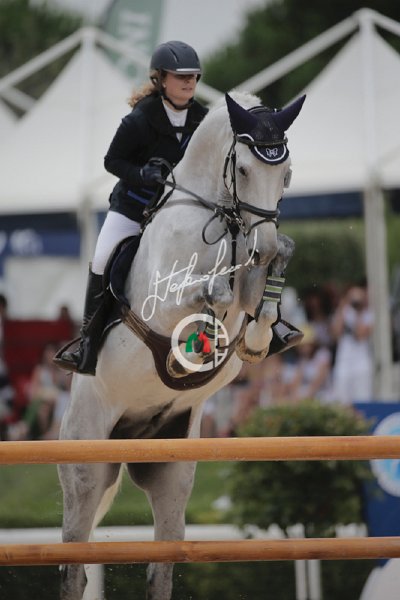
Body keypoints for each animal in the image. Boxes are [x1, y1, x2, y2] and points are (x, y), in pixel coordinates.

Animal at [58, 90, 305, 600]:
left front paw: (258, 336)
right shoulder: (165, 301)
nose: (262, 246)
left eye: (286, 172)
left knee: (162, 565)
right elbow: (214, 292)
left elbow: (262, 290)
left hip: (171, 468)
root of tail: (128, 438)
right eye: (244, 170)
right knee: (73, 565)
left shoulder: (254, 272)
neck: (220, 218)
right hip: (86, 465)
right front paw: (210, 328)